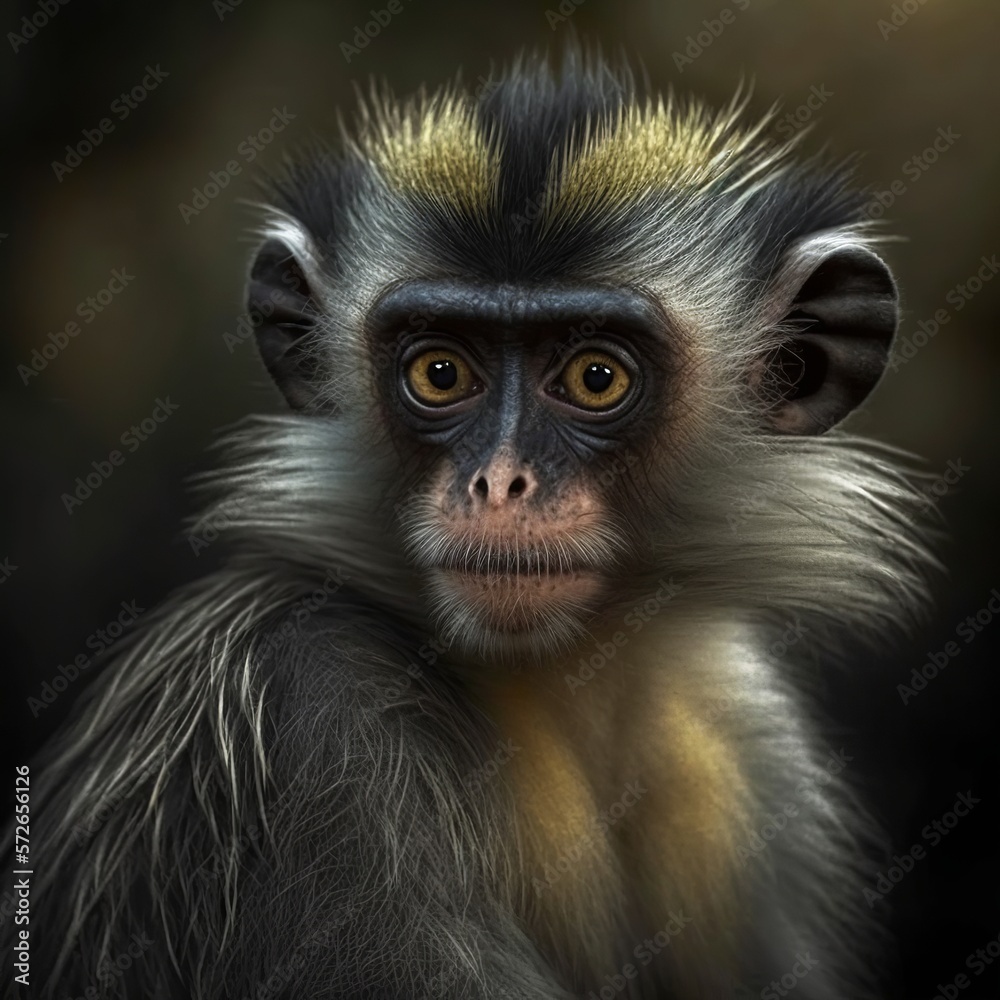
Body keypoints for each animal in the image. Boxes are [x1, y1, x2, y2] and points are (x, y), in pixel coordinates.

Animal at [3, 50, 936, 999]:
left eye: (596, 376)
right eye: (441, 372)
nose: (498, 483)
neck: (575, 678)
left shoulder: (750, 733)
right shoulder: (311, 715)